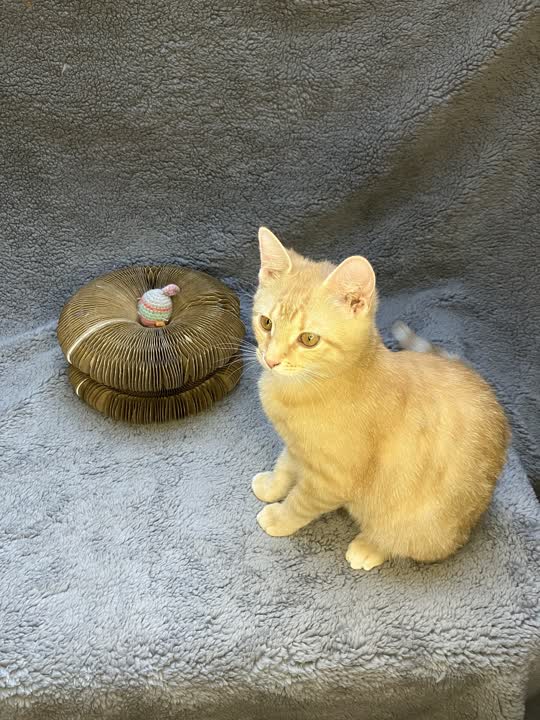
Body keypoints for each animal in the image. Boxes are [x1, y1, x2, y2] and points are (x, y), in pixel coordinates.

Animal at [251, 226, 510, 570]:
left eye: (308, 339)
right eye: (266, 323)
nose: (271, 360)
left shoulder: (332, 479)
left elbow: (300, 503)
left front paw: (279, 517)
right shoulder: (298, 447)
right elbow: (285, 465)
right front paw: (271, 485)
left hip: (425, 525)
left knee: (408, 541)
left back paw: (370, 546)